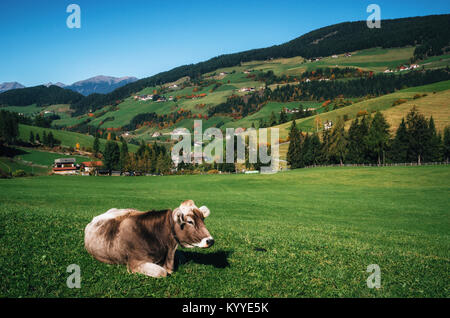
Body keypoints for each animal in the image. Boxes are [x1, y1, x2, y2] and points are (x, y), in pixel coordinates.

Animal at [84, 200, 214, 278]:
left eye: (203, 219)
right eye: (190, 221)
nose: (210, 240)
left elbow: (181, 257)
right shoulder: (134, 263)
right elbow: (162, 272)